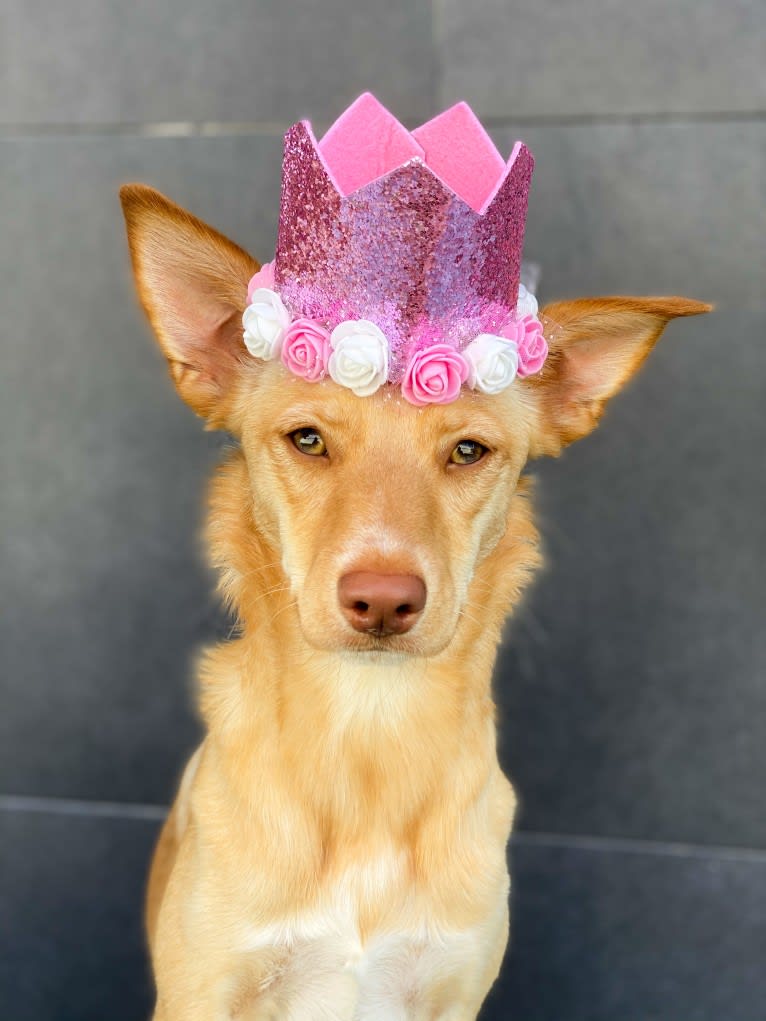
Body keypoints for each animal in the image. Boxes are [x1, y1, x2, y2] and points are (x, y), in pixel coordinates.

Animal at [121, 185, 714, 1021]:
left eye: (467, 450)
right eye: (307, 439)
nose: (382, 599)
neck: (370, 732)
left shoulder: (452, 991)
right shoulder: (202, 989)